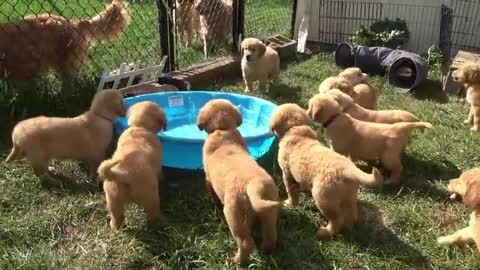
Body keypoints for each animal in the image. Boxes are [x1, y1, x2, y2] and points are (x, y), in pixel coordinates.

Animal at [96, 101, 166, 230]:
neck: (139, 127)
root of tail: (122, 174)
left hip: (113, 200)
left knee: (117, 217)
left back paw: (115, 227)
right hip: (150, 196)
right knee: (153, 213)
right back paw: (160, 222)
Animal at [197, 98, 280, 264]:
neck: (222, 129)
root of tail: (255, 185)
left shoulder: (208, 178)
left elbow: (213, 194)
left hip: (235, 215)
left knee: (245, 242)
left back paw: (237, 260)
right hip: (269, 211)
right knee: (270, 233)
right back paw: (267, 250)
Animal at [270, 104, 382, 237]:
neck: (295, 129)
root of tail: (347, 169)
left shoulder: (287, 175)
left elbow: (292, 193)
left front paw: (289, 204)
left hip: (323, 198)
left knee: (336, 219)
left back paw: (325, 232)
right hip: (349, 197)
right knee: (351, 215)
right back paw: (348, 229)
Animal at [308, 94, 436, 185]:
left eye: (310, 106)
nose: (307, 111)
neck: (335, 117)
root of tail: (402, 127)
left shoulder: (336, 147)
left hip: (388, 157)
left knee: (398, 168)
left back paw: (390, 181)